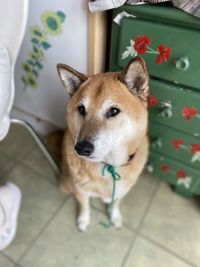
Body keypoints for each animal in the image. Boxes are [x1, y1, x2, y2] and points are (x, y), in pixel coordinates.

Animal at [56, 57, 148, 232]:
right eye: (81, 109)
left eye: (113, 111)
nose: (81, 148)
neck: (109, 164)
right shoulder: (80, 190)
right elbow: (85, 205)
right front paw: (83, 220)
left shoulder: (122, 191)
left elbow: (115, 204)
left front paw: (115, 217)